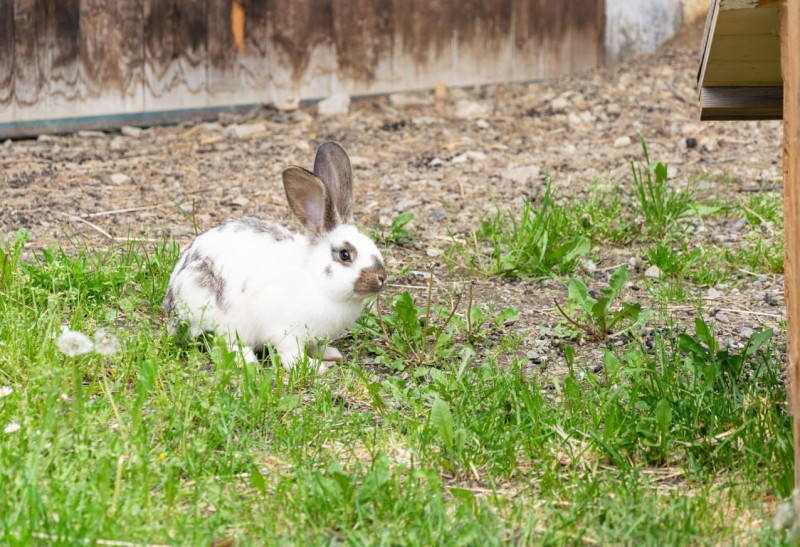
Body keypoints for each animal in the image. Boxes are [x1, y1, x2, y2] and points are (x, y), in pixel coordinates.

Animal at [163, 141, 387, 372]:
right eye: (345, 254)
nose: (381, 277)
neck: (317, 280)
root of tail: (173, 305)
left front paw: (329, 354)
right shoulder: (284, 330)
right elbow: (291, 354)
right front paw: (314, 367)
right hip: (218, 312)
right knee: (224, 342)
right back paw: (248, 360)